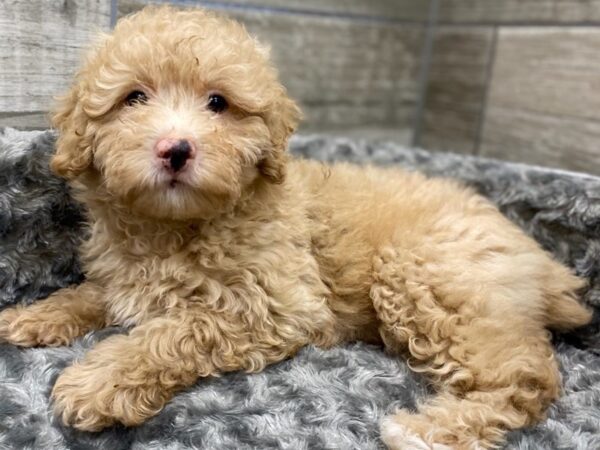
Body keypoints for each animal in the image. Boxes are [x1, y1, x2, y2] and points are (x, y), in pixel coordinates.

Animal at [0, 7, 592, 450]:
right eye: (134, 98)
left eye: (218, 103)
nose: (176, 149)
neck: (176, 225)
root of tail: (544, 264)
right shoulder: (124, 274)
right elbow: (93, 292)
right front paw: (33, 316)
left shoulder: (275, 305)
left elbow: (179, 329)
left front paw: (99, 381)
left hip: (429, 274)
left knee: (526, 377)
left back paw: (430, 429)